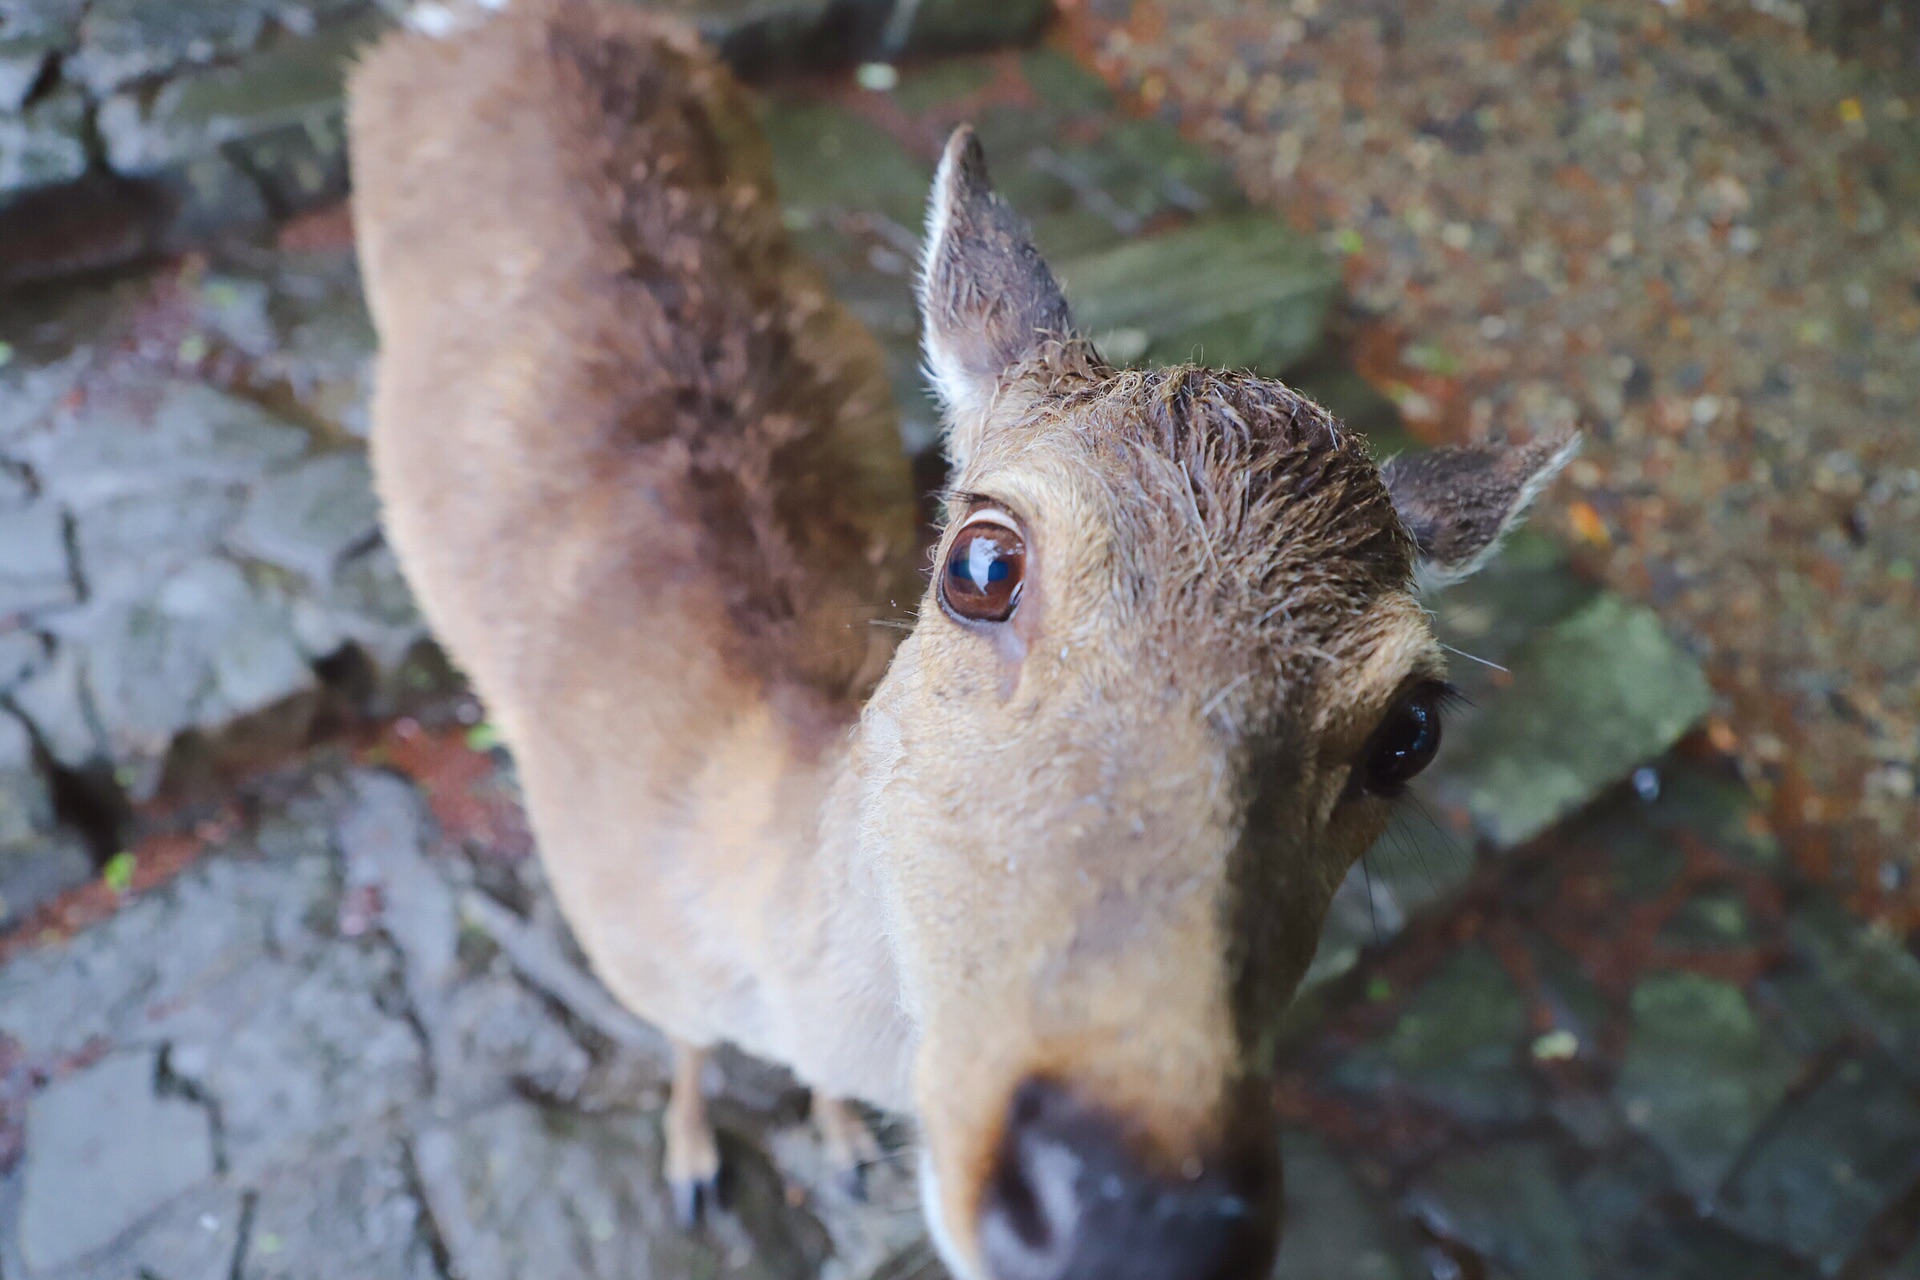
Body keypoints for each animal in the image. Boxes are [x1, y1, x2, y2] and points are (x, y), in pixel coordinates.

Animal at [345, 5, 1574, 1274]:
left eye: (1413, 730)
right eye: (982, 565)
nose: (1134, 1212)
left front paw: (839, 1141)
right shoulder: (628, 949)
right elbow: (682, 1051)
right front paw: (693, 1165)